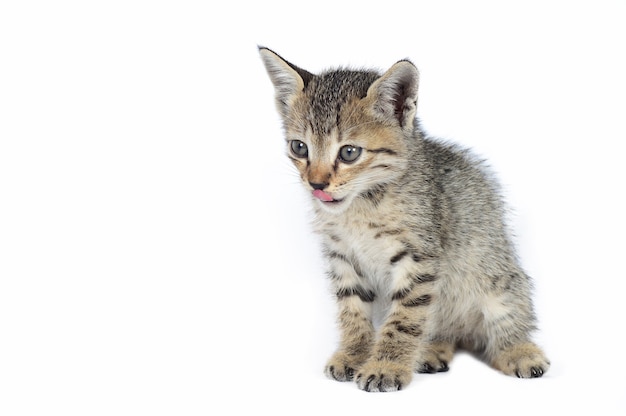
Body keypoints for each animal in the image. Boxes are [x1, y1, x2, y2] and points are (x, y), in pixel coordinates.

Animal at [258, 47, 544, 392]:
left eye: (349, 153)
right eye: (299, 147)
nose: (316, 184)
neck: (361, 205)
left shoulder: (418, 259)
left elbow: (404, 319)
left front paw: (386, 366)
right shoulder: (343, 257)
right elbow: (352, 311)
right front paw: (354, 354)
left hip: (495, 276)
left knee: (509, 315)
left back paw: (519, 351)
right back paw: (432, 349)